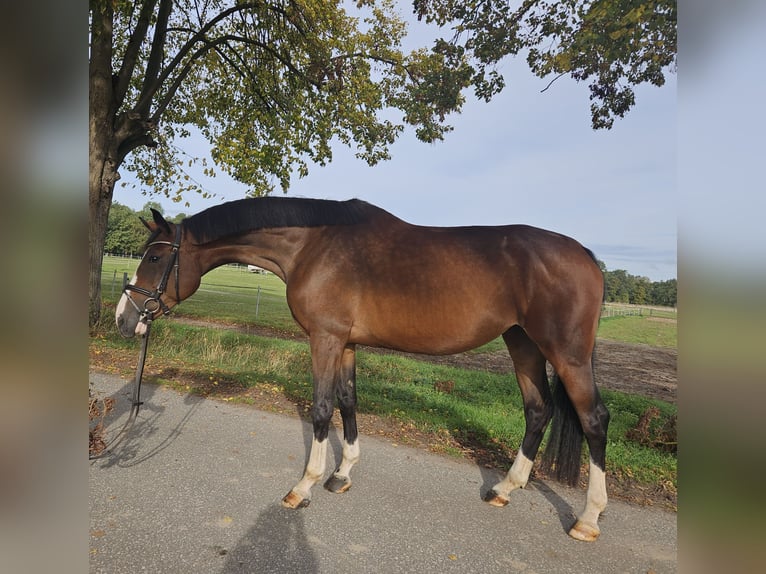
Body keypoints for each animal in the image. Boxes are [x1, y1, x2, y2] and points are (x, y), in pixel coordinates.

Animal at [115, 197, 609, 542]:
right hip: (521, 342)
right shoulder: (347, 343)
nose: (124, 318)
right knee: (538, 410)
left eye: (155, 258)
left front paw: (304, 486)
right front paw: (341, 474)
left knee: (594, 419)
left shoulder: (325, 338)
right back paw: (506, 488)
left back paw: (587, 519)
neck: (313, 247)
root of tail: (585, 255)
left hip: (565, 352)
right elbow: (348, 401)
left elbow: (321, 408)